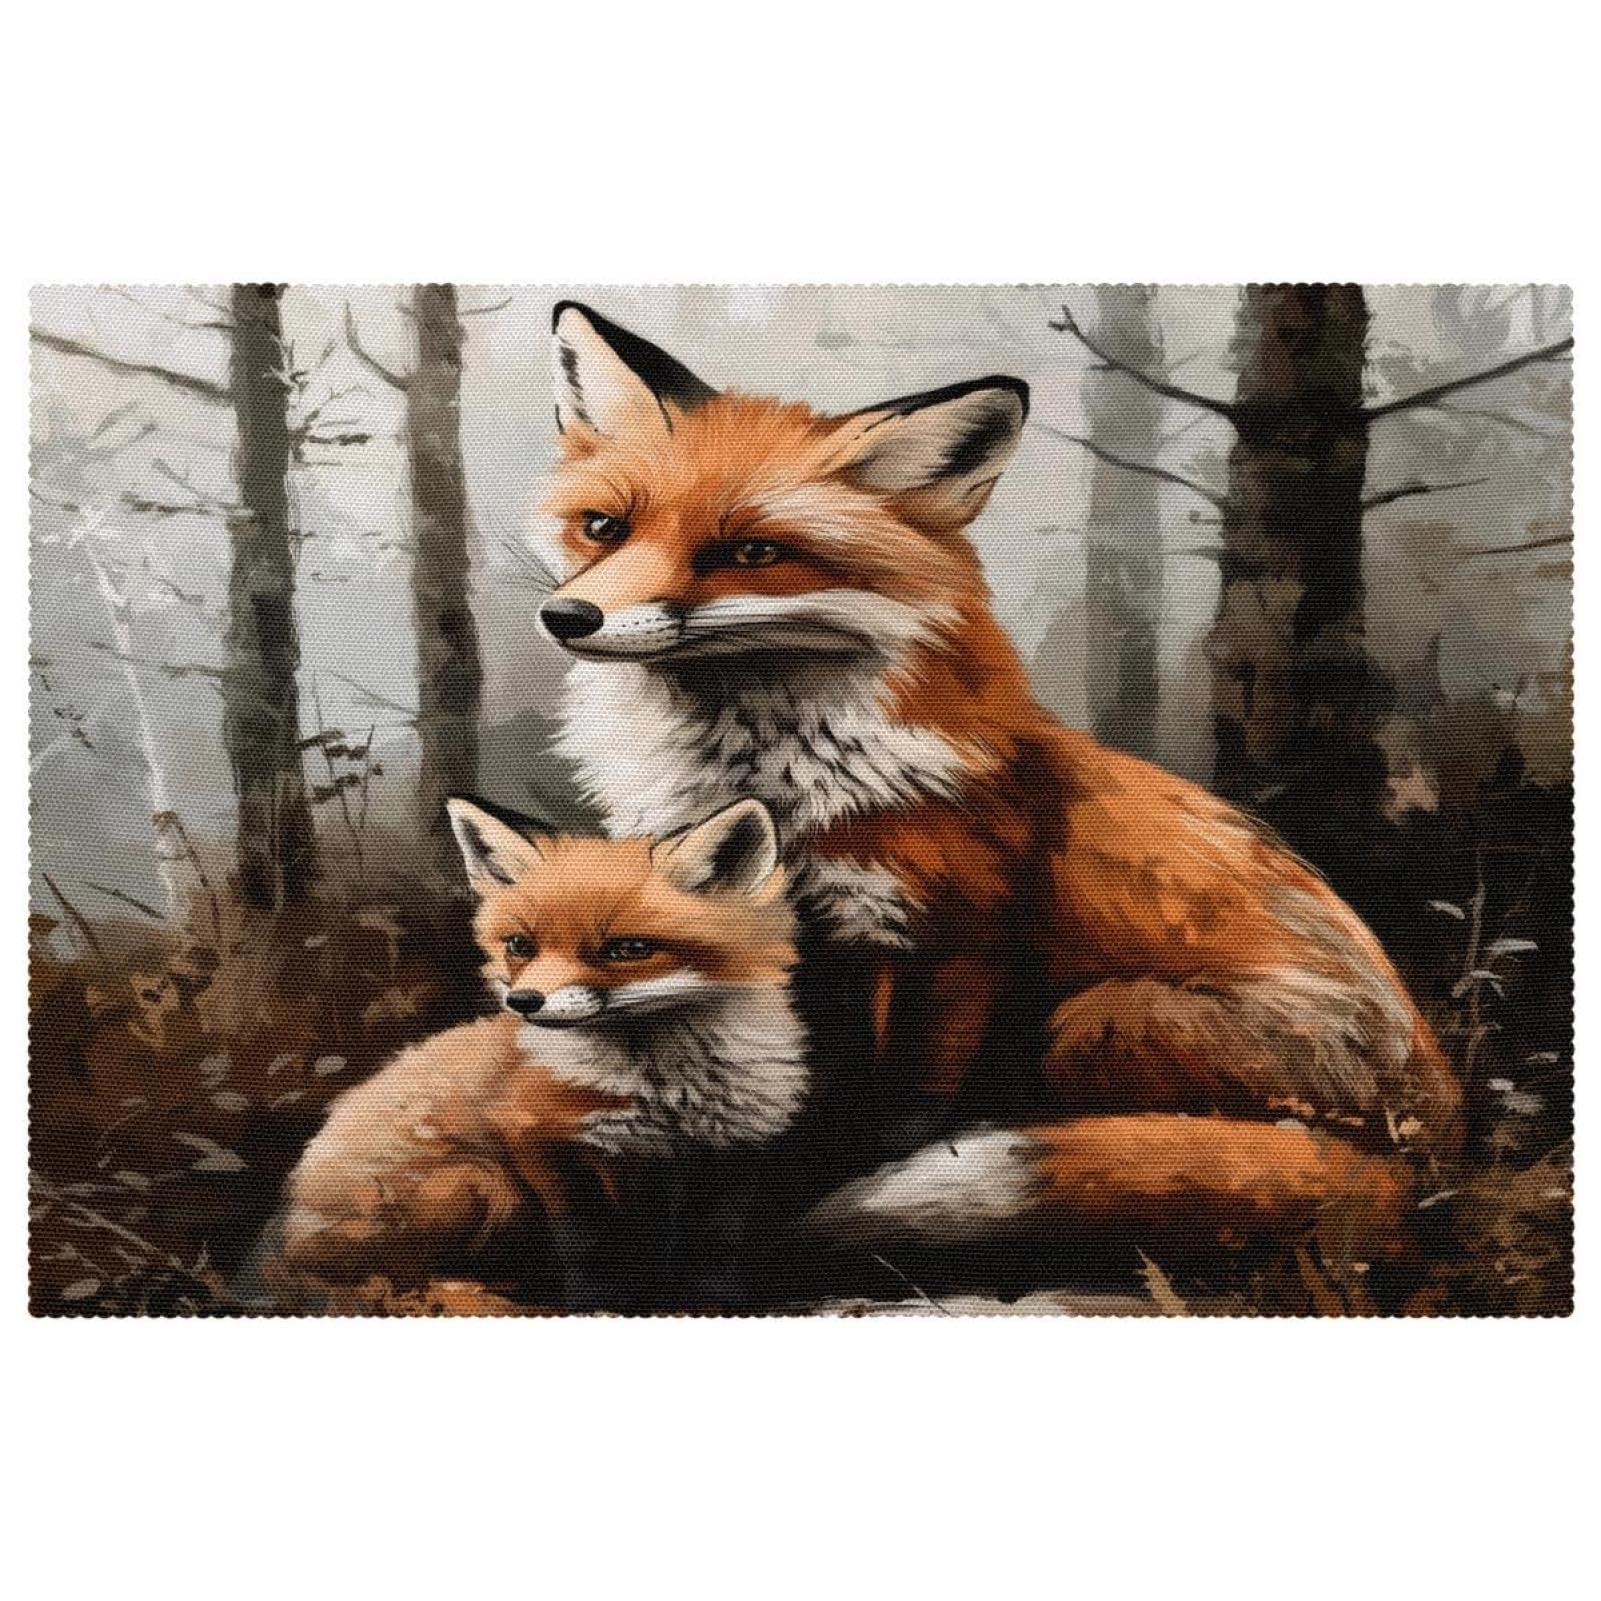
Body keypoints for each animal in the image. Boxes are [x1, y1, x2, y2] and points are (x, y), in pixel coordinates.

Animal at [266, 796, 807, 1309]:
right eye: (520, 945)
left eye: (627, 949)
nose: (523, 1001)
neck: (664, 1091)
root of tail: (290, 1225)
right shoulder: (539, 1139)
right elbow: (586, 1241)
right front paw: (596, 1303)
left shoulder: (733, 1147)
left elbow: (717, 1240)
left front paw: (711, 1298)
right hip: (480, 1184)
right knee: (399, 1271)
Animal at [522, 301, 1463, 1267]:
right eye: (603, 528)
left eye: (751, 552)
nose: (569, 617)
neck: (776, 785)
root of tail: (1434, 1165)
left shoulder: (951, 943)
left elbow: (896, 1114)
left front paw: (798, 1215)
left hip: (1093, 1020)